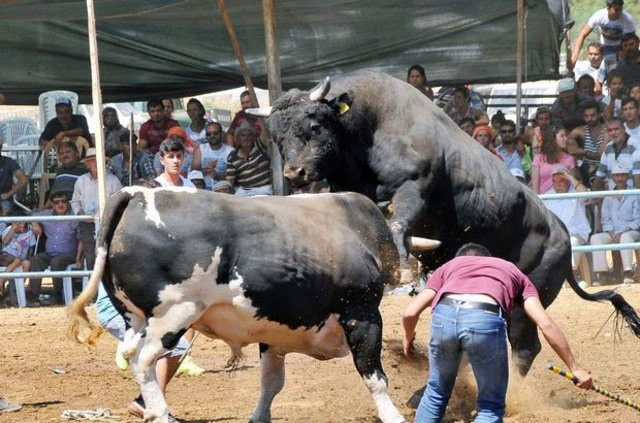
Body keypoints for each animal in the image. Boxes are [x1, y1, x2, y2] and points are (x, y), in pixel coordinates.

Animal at [70, 188, 412, 423]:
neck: (355, 227)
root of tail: (136, 192)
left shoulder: (273, 332)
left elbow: (271, 382)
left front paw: (259, 417)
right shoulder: (363, 314)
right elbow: (373, 374)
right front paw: (392, 416)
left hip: (137, 319)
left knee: (132, 354)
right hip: (174, 314)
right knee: (145, 361)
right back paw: (161, 414)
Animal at [249, 69, 640, 378]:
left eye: (314, 125)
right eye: (277, 135)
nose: (294, 173)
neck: (366, 132)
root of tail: (562, 233)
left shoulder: (414, 187)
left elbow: (400, 222)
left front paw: (401, 268)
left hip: (527, 302)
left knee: (525, 347)